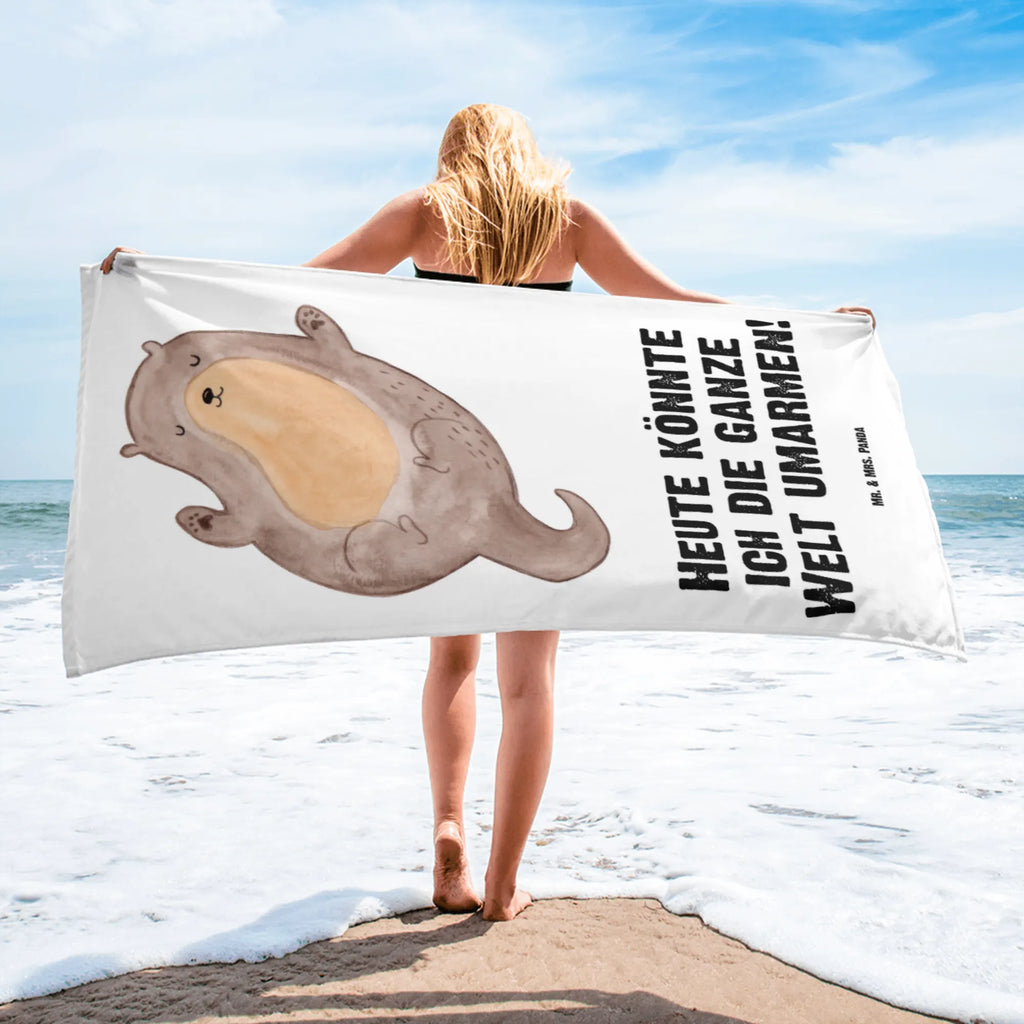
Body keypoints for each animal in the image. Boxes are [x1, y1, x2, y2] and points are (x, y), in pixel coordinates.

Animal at [120, 304, 610, 596]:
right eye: (178, 431)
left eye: (195, 360)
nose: (210, 394)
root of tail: (486, 524)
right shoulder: (248, 506)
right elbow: (237, 527)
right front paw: (195, 518)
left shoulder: (338, 357)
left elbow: (332, 339)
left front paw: (310, 314)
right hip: (379, 556)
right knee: (374, 549)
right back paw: (402, 526)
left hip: (465, 442)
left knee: (444, 443)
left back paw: (430, 455)